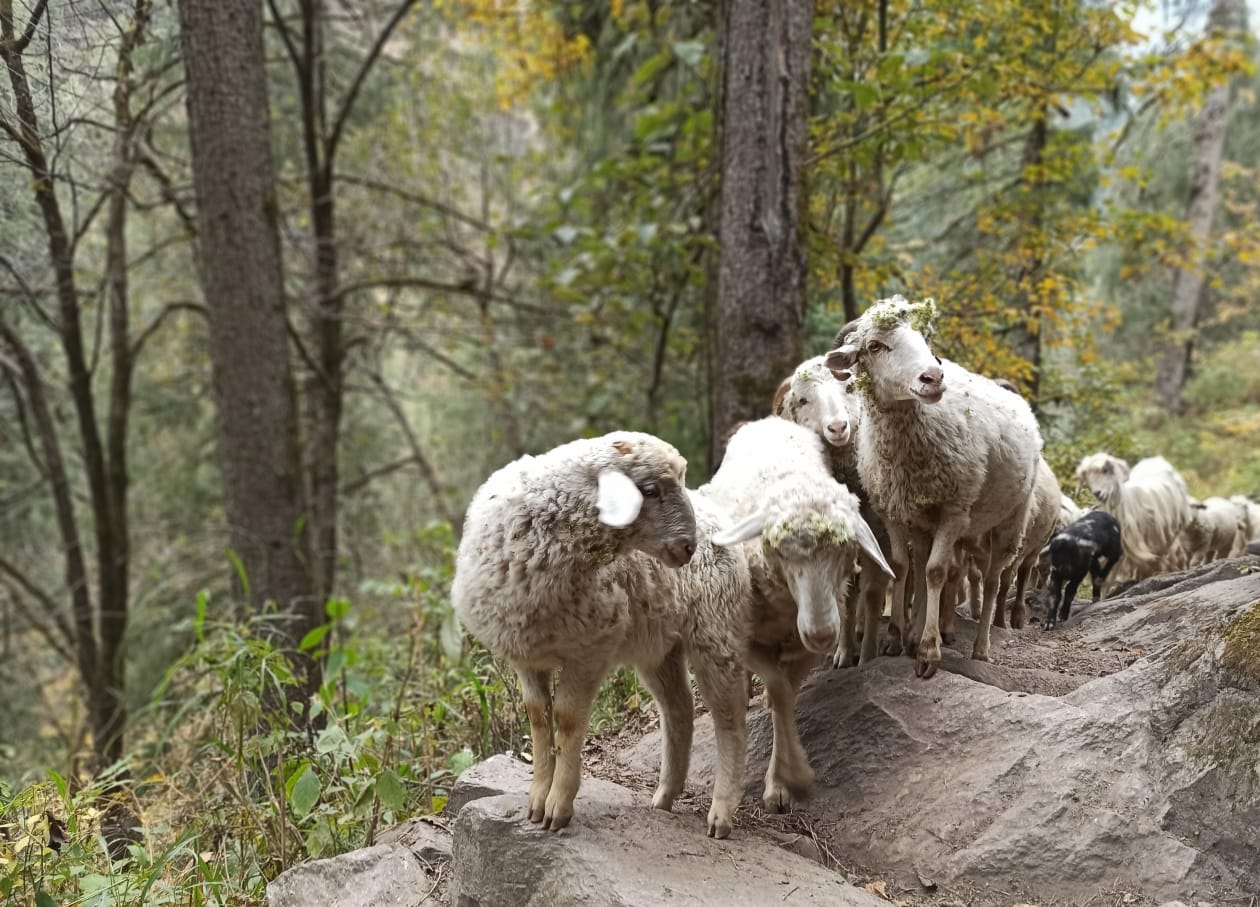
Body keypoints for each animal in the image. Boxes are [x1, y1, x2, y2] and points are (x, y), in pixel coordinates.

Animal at [451, 432, 752, 838]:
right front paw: (536, 799)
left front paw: (558, 806)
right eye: (650, 490)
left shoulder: (590, 649)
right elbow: (538, 717)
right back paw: (665, 796)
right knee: (679, 709)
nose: (688, 547)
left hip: (715, 632)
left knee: (730, 720)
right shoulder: (527, 655)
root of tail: (716, 511)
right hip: (660, 647)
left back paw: (721, 811)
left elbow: (566, 719)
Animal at [699, 417, 891, 810]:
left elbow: (786, 692)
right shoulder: (751, 640)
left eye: (844, 550)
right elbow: (779, 691)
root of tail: (769, 420)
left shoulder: (806, 651)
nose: (822, 633)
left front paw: (783, 781)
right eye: (782, 551)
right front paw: (793, 778)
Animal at [772, 357, 893, 667]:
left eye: (849, 388)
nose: (838, 427)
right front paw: (844, 651)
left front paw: (868, 655)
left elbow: (873, 593)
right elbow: (847, 595)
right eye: (803, 400)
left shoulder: (882, 535)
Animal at [824, 295, 1043, 678]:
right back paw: (913, 634)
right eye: (874, 346)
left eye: (925, 338)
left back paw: (981, 648)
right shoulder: (893, 511)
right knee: (925, 562)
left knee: (991, 580)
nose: (934, 377)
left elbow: (936, 572)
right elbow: (901, 567)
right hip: (924, 520)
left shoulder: (955, 509)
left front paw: (928, 651)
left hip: (1011, 519)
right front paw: (896, 638)